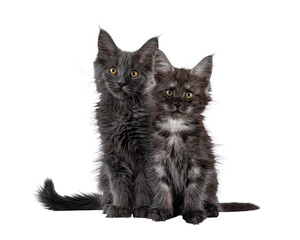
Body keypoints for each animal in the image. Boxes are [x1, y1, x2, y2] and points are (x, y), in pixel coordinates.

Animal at [38, 28, 157, 218]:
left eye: (134, 73)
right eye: (113, 70)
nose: (121, 83)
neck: (123, 112)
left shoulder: (146, 153)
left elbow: (143, 183)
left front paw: (143, 208)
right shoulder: (112, 153)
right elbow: (119, 184)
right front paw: (120, 207)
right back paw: (108, 205)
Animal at [146, 51, 258, 225]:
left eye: (189, 94)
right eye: (169, 92)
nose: (177, 104)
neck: (176, 128)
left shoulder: (200, 164)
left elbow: (194, 189)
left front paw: (193, 212)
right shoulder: (157, 162)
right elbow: (161, 187)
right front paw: (162, 210)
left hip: (213, 177)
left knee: (211, 198)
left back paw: (211, 209)